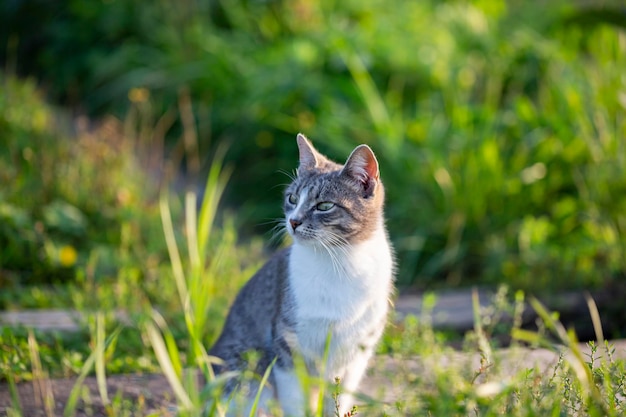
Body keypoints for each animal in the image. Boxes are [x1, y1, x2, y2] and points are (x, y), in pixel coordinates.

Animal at [210, 134, 394, 416]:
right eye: (293, 199)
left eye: (324, 206)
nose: (293, 221)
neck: (338, 262)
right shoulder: (287, 347)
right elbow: (295, 403)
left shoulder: (356, 356)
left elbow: (339, 402)